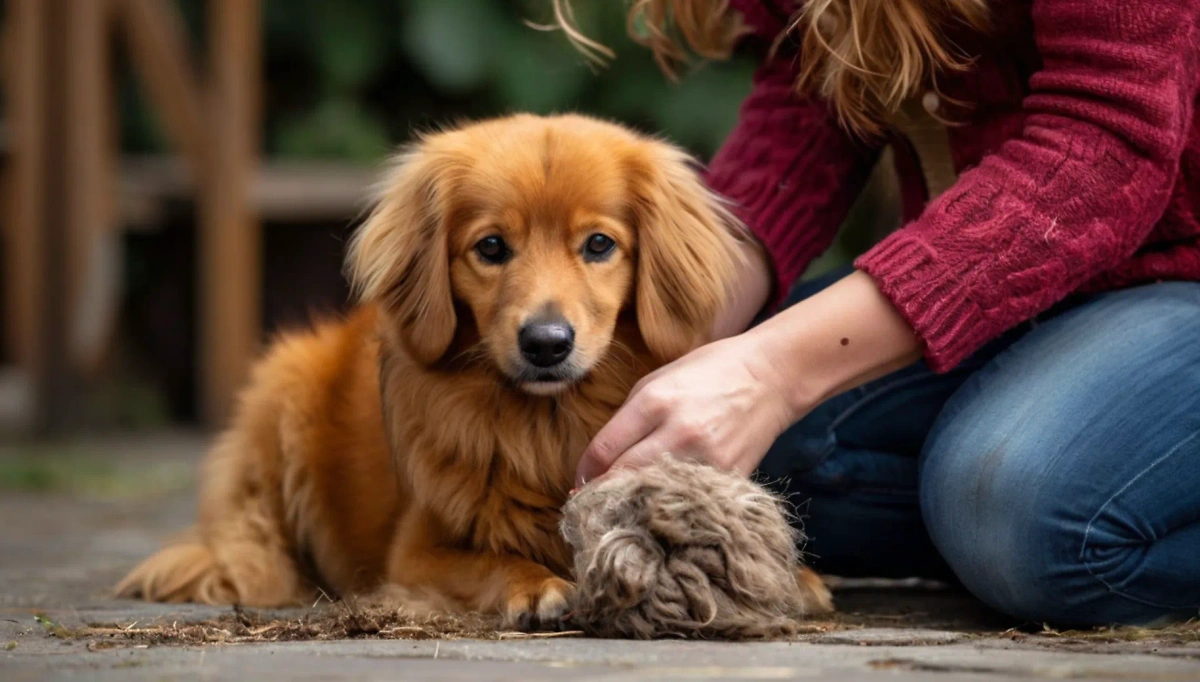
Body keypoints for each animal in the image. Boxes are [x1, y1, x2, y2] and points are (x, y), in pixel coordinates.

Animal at [117, 113, 835, 629]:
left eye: (599, 245)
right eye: (491, 247)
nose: (546, 342)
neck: (544, 424)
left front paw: (794, 578)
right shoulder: (416, 551)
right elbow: (490, 560)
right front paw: (537, 585)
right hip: (283, 393)